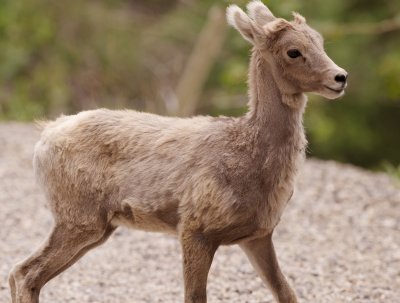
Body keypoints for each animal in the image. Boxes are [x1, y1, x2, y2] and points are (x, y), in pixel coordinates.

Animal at [8, 1, 346, 302]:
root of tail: (45, 137)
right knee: (24, 273)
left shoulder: (258, 235)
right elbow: (195, 296)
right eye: (293, 51)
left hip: (97, 227)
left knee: (23, 274)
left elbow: (286, 293)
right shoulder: (194, 228)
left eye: (319, 40)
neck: (248, 155)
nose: (340, 77)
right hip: (79, 218)